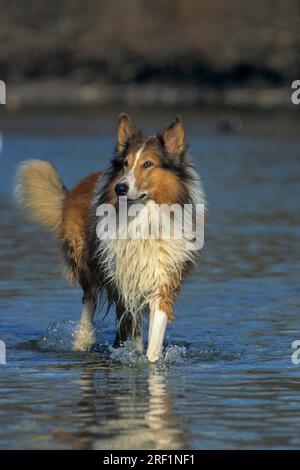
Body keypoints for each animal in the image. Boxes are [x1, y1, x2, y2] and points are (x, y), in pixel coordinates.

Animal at [13, 114, 204, 364]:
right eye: (125, 164)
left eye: (148, 164)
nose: (120, 188)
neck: (143, 219)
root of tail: (74, 189)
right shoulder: (122, 283)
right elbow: (130, 330)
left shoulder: (161, 283)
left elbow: (153, 341)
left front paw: (148, 361)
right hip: (86, 265)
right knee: (89, 302)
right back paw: (82, 342)